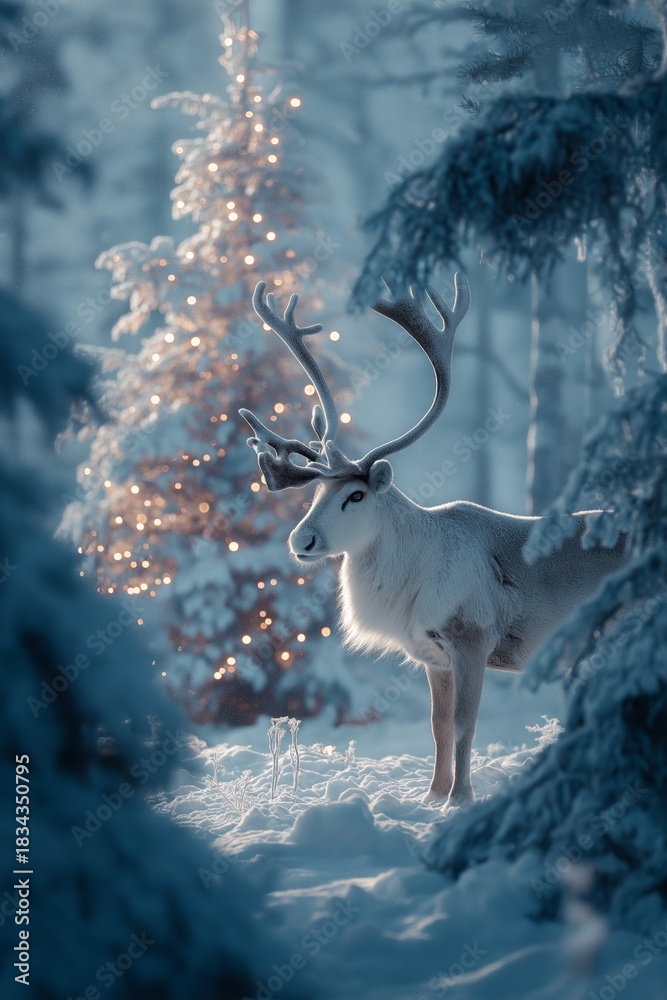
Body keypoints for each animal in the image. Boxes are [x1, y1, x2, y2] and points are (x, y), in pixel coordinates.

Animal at [239, 275, 628, 807]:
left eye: (356, 494)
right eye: (316, 491)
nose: (302, 539)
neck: (412, 584)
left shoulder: (472, 638)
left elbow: (465, 726)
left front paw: (459, 798)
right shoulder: (432, 656)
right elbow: (438, 727)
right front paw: (431, 795)